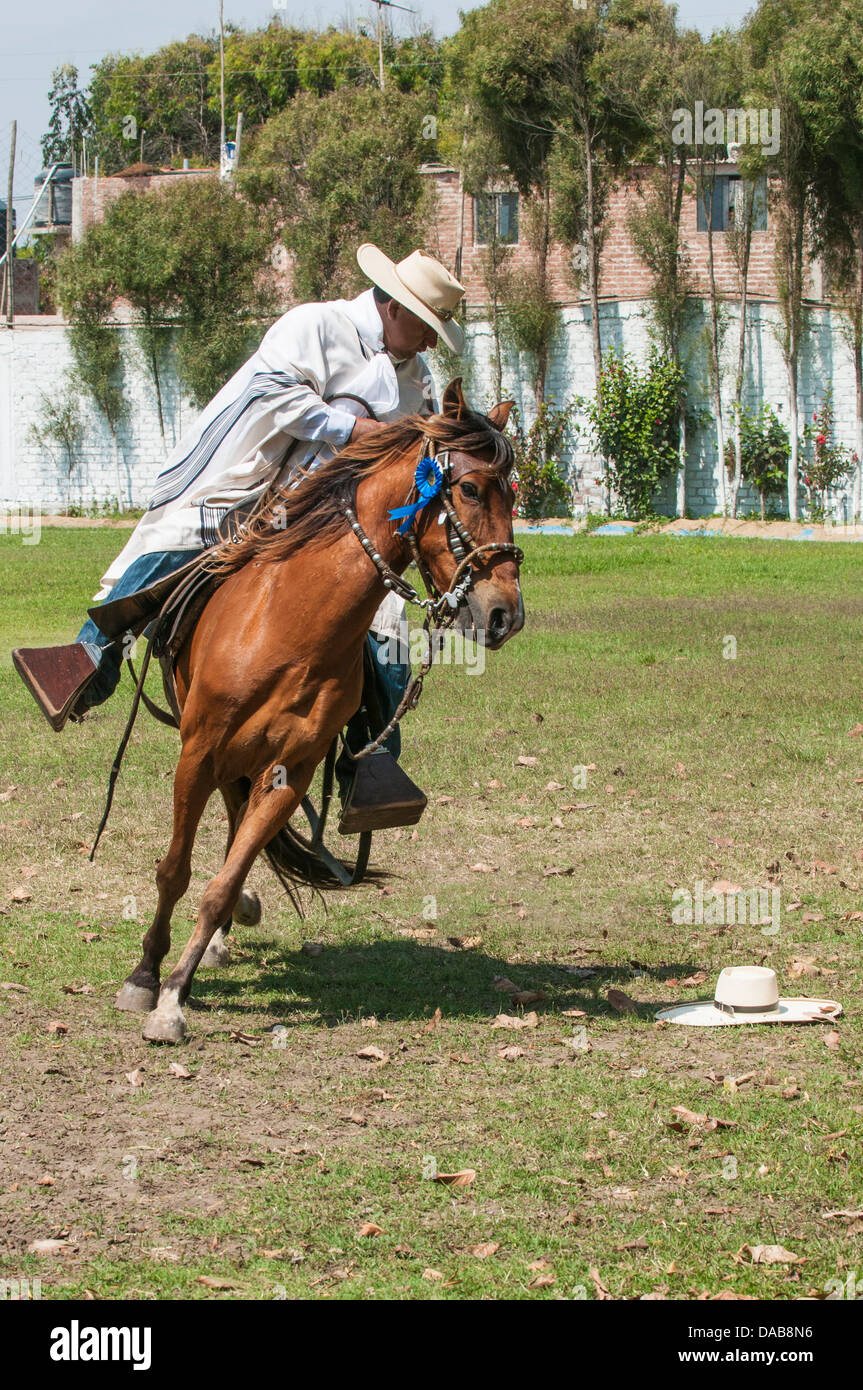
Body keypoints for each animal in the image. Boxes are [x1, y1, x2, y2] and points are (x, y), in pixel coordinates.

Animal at [113, 380, 516, 1045]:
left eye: (514, 493)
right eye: (470, 489)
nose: (505, 614)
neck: (289, 624)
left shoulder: (291, 771)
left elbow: (222, 882)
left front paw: (176, 993)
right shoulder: (197, 751)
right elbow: (173, 869)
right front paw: (146, 977)